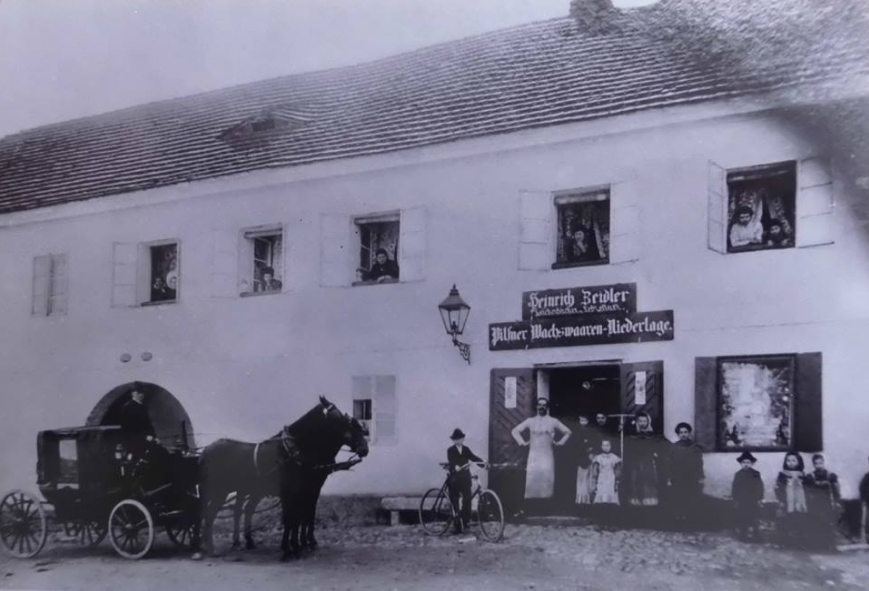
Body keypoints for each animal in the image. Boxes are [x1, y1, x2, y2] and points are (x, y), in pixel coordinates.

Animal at [198, 398, 368, 560]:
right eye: (337, 418)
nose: (364, 449)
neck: (293, 452)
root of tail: (206, 450)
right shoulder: (291, 492)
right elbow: (291, 519)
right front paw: (290, 548)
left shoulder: (309, 491)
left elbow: (304, 517)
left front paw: (303, 544)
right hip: (220, 491)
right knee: (211, 514)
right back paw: (211, 548)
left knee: (242, 510)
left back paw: (240, 542)